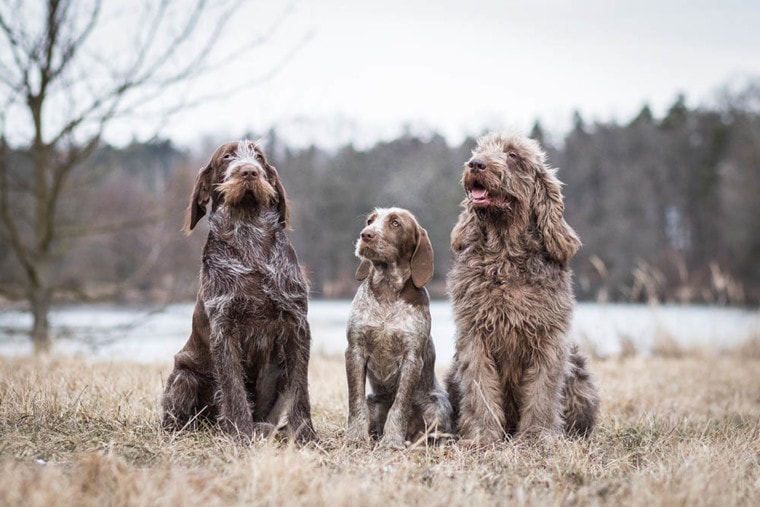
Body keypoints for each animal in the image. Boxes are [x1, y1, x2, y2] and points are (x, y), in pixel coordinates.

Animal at [348, 206, 454, 448]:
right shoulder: (355, 351)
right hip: (374, 401)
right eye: (370, 221)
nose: (365, 235)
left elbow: (400, 406)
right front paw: (356, 436)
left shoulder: (412, 358)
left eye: (395, 223)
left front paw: (392, 440)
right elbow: (355, 401)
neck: (387, 289)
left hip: (437, 405)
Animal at [446, 131, 600, 444]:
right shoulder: (474, 336)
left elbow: (542, 391)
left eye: (513, 155)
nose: (476, 164)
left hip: (579, 373)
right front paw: (482, 435)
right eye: (480, 150)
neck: (505, 254)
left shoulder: (549, 339)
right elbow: (480, 388)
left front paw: (537, 436)